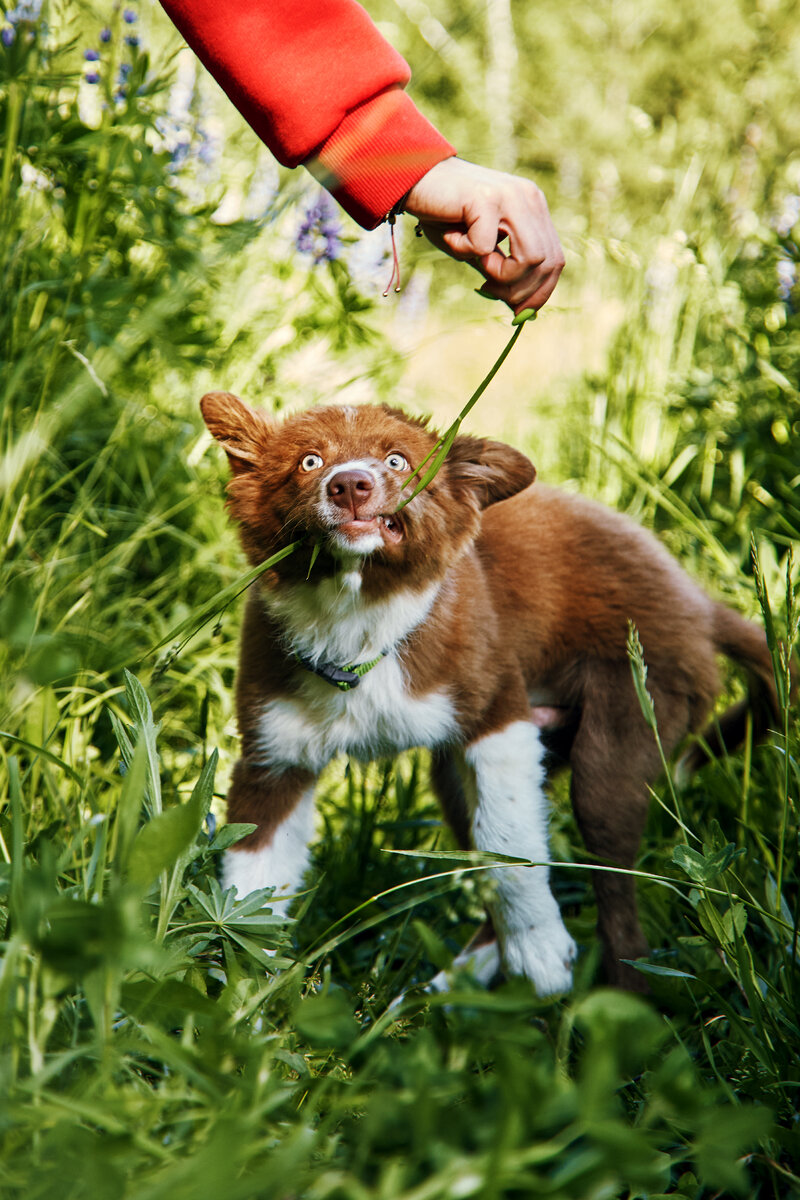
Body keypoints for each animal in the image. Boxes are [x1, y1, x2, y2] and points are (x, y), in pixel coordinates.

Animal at [201, 393, 782, 993]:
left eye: (397, 461)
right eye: (309, 462)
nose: (350, 485)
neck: (359, 623)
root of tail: (698, 603)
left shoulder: (499, 714)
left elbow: (509, 839)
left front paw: (540, 951)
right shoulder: (275, 758)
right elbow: (251, 879)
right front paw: (240, 995)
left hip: (624, 726)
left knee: (615, 897)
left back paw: (621, 995)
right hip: (461, 769)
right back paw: (455, 984)